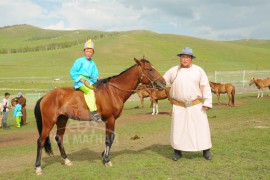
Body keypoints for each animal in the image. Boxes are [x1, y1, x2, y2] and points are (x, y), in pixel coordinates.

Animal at [32, 58, 166, 175]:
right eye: (150, 69)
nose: (164, 83)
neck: (113, 92)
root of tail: (45, 96)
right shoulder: (110, 120)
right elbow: (108, 139)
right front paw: (106, 160)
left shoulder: (112, 120)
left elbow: (111, 138)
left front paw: (103, 155)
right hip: (49, 122)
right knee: (40, 141)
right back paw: (38, 167)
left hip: (62, 120)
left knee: (59, 138)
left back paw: (66, 160)